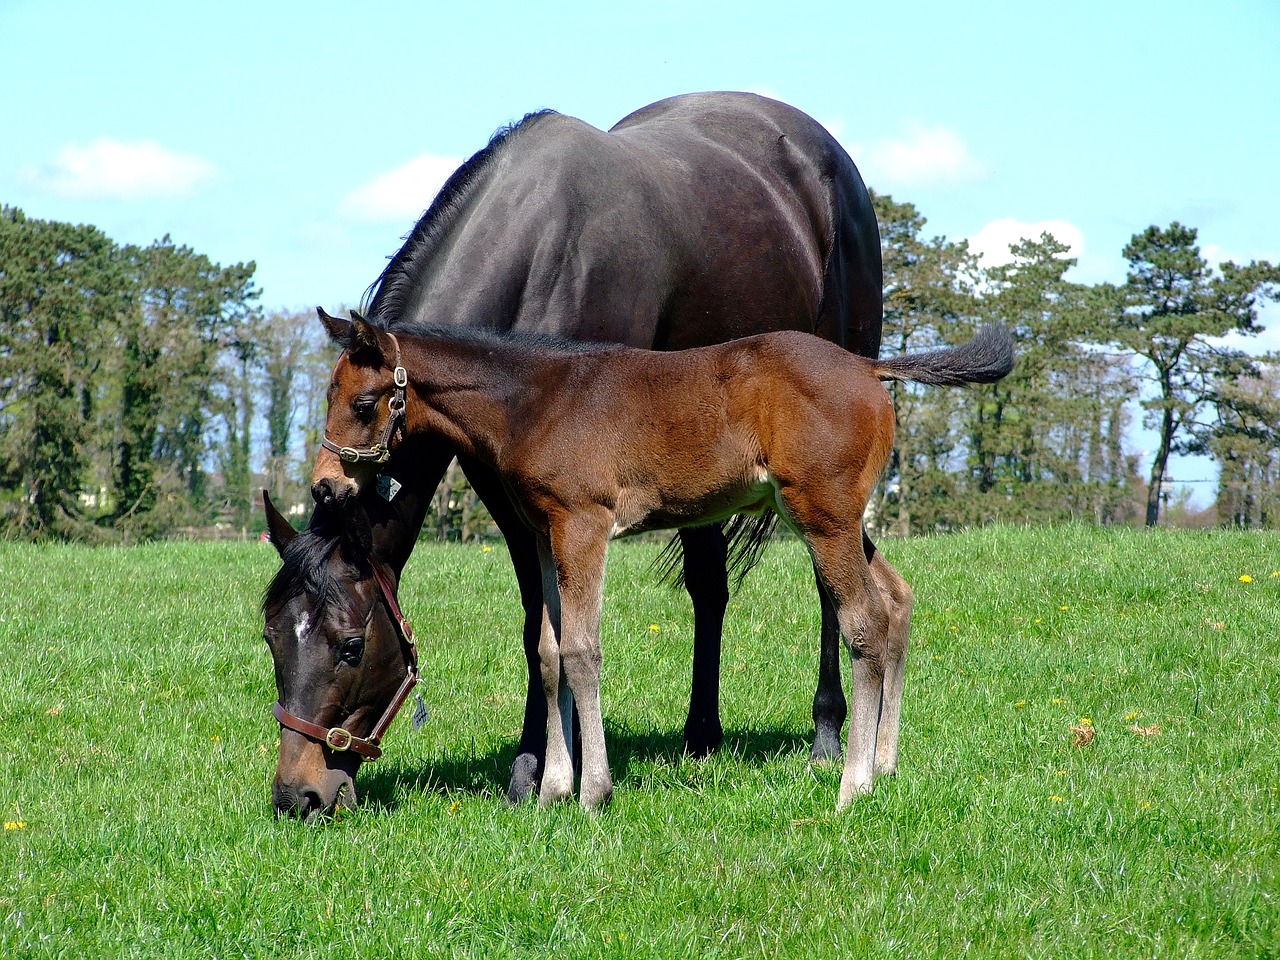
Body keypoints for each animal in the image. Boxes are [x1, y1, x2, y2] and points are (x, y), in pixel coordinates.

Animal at [309, 309, 1008, 814]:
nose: (325, 485)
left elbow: (582, 650)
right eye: (329, 396)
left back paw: (852, 785)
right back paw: (885, 763)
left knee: (863, 621)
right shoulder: (544, 534)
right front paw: (554, 789)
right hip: (830, 517)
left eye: (364, 404)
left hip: (824, 516)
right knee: (897, 600)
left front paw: (593, 792)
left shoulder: (583, 523)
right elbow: (549, 652)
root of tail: (869, 366)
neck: (532, 401)